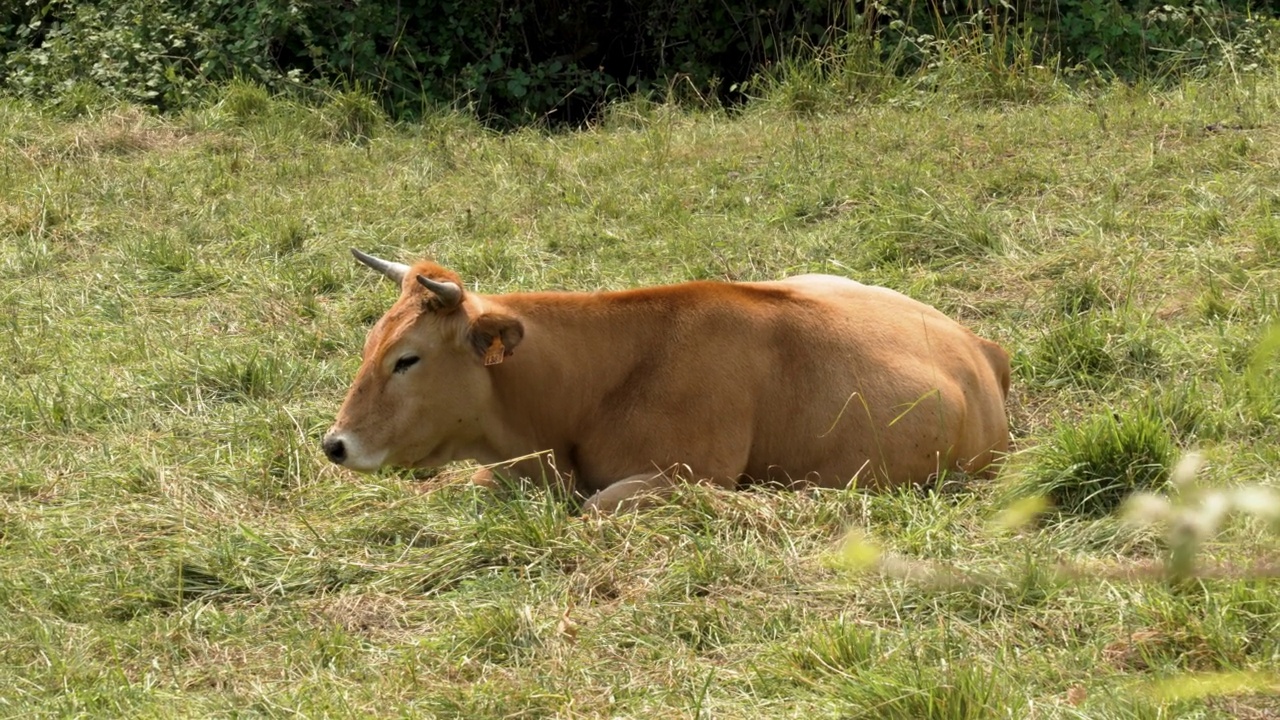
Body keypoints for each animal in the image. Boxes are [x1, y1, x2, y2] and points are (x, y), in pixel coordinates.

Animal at [322, 249, 1008, 512]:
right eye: (370, 342)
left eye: (407, 359)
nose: (335, 444)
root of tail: (977, 344)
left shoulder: (688, 475)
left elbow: (594, 507)